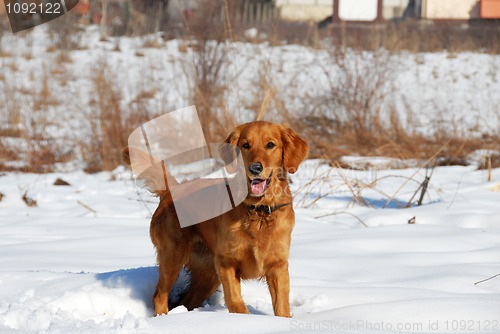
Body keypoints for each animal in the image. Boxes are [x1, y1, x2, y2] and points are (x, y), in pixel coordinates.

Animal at [142, 121, 308, 318]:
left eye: (270, 145)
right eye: (246, 145)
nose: (255, 168)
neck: (258, 210)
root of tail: (170, 191)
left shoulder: (278, 265)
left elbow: (282, 307)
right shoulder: (226, 262)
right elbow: (237, 303)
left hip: (207, 275)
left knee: (187, 301)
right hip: (173, 255)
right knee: (159, 295)